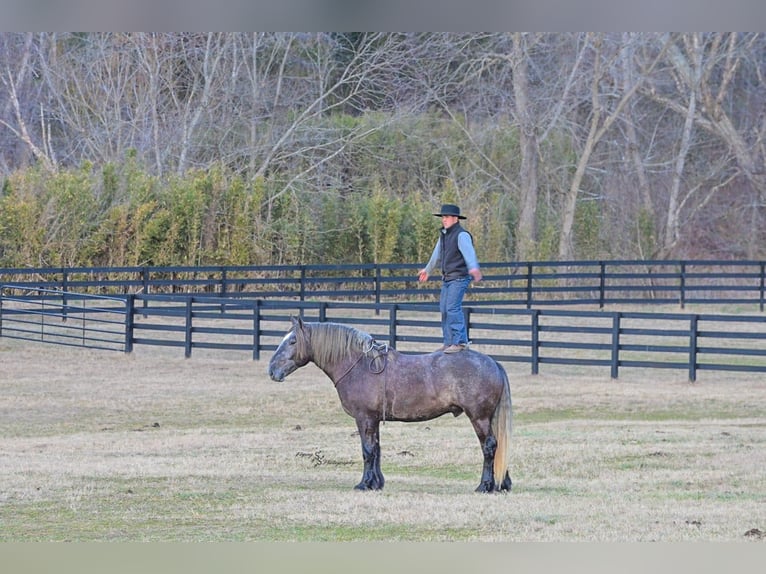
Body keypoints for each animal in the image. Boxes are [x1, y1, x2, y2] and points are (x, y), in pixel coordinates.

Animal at [267, 316, 512, 493]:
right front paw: (376, 483)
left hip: (479, 418)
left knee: (489, 446)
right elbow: (376, 449)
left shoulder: (364, 418)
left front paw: (364, 484)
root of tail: (493, 363)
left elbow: (367, 451)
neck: (359, 366)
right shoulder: (373, 420)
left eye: (292, 341)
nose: (272, 370)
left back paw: (484, 486)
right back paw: (502, 484)